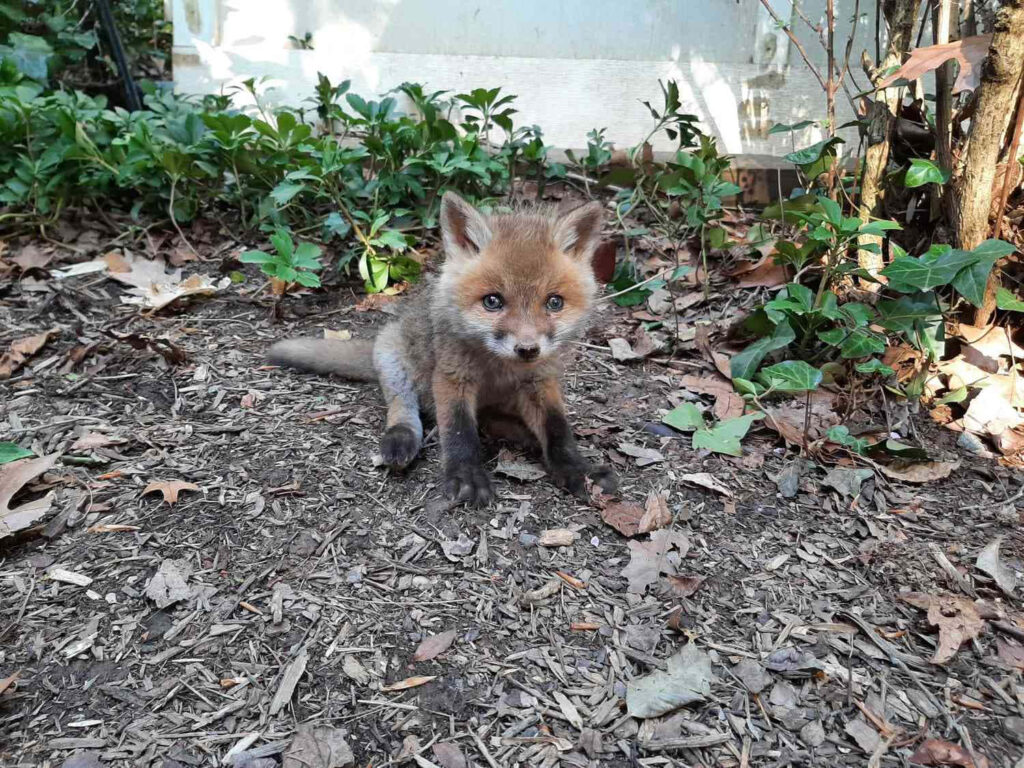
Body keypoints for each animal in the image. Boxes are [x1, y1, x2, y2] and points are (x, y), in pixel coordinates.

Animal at [268, 192, 617, 506]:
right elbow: (459, 431)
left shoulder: (540, 381)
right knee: (405, 408)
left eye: (554, 303)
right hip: (394, 362)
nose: (528, 349)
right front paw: (466, 477)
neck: (499, 368)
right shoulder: (451, 376)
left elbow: (558, 430)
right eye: (493, 301)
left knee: (492, 421)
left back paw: (522, 434)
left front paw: (578, 469)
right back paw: (402, 438)